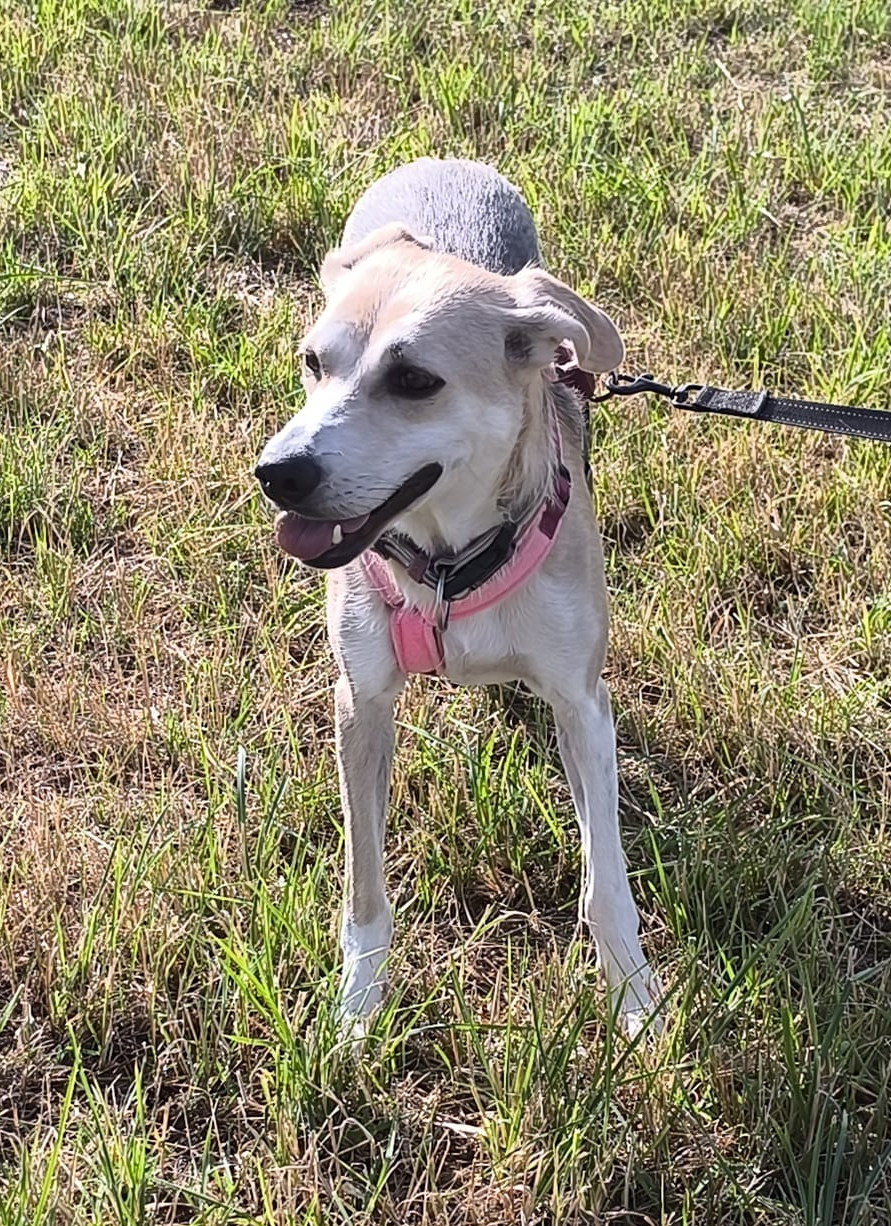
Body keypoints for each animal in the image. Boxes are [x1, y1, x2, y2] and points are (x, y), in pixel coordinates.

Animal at [256, 158, 661, 1035]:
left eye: (414, 381)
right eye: (312, 363)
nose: (276, 471)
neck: (446, 565)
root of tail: (439, 162)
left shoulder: (583, 703)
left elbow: (605, 876)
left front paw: (633, 1002)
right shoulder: (360, 701)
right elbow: (364, 890)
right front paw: (357, 1016)